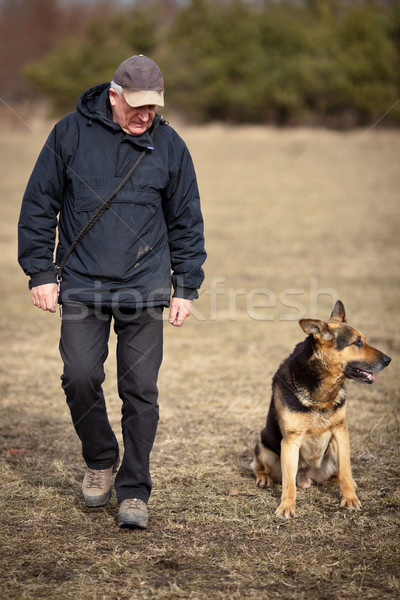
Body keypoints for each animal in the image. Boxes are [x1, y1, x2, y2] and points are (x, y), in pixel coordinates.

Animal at [253, 302, 390, 516]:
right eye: (357, 342)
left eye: (364, 340)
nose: (389, 359)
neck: (321, 396)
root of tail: (307, 477)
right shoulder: (290, 442)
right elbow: (288, 483)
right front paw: (287, 506)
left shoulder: (341, 433)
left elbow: (346, 470)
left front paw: (350, 498)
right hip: (264, 448)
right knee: (260, 467)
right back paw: (263, 478)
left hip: (333, 451)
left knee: (340, 473)